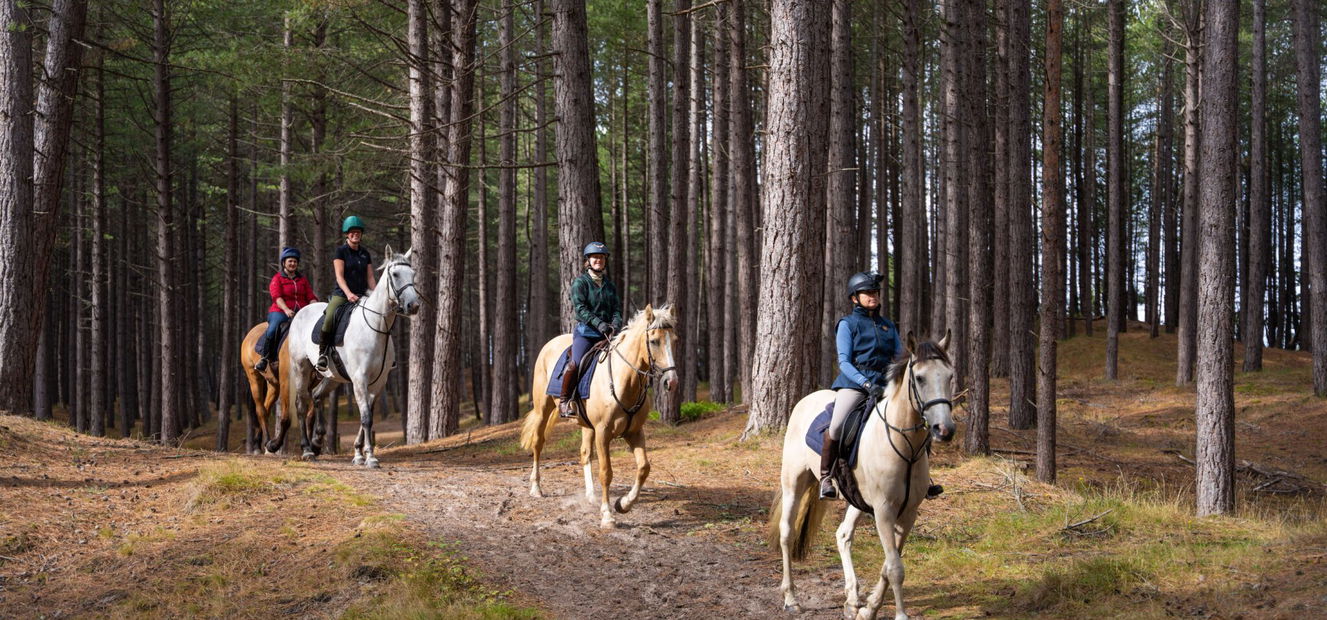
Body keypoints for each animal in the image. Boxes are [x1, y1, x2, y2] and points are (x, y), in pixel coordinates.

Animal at [237, 324, 278, 454]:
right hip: (255, 379)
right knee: (261, 410)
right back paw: (263, 444)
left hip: (273, 386)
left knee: (265, 408)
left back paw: (259, 444)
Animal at [276, 246, 420, 466]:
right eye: (395, 274)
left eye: (412, 274)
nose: (413, 305)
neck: (375, 328)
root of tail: (301, 312)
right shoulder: (360, 379)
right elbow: (366, 417)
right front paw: (370, 457)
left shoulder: (378, 382)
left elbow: (367, 414)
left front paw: (359, 454)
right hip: (301, 368)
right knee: (301, 404)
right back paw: (308, 450)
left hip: (333, 377)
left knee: (317, 395)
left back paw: (317, 441)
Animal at [519, 304, 678, 529]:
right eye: (654, 341)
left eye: (675, 340)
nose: (671, 382)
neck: (623, 380)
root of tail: (550, 344)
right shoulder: (603, 433)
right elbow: (606, 472)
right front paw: (607, 515)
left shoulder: (635, 432)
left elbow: (643, 468)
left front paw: (623, 504)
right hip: (543, 409)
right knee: (538, 443)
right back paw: (536, 488)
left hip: (586, 425)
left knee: (585, 453)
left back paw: (591, 495)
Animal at [769, 331, 956, 620]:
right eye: (920, 378)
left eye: (949, 376)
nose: (944, 429)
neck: (904, 447)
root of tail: (805, 400)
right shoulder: (884, 511)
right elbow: (895, 568)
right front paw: (899, 615)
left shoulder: (908, 513)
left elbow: (889, 565)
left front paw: (868, 609)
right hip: (793, 484)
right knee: (787, 533)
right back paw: (791, 598)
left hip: (856, 498)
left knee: (843, 535)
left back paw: (851, 599)